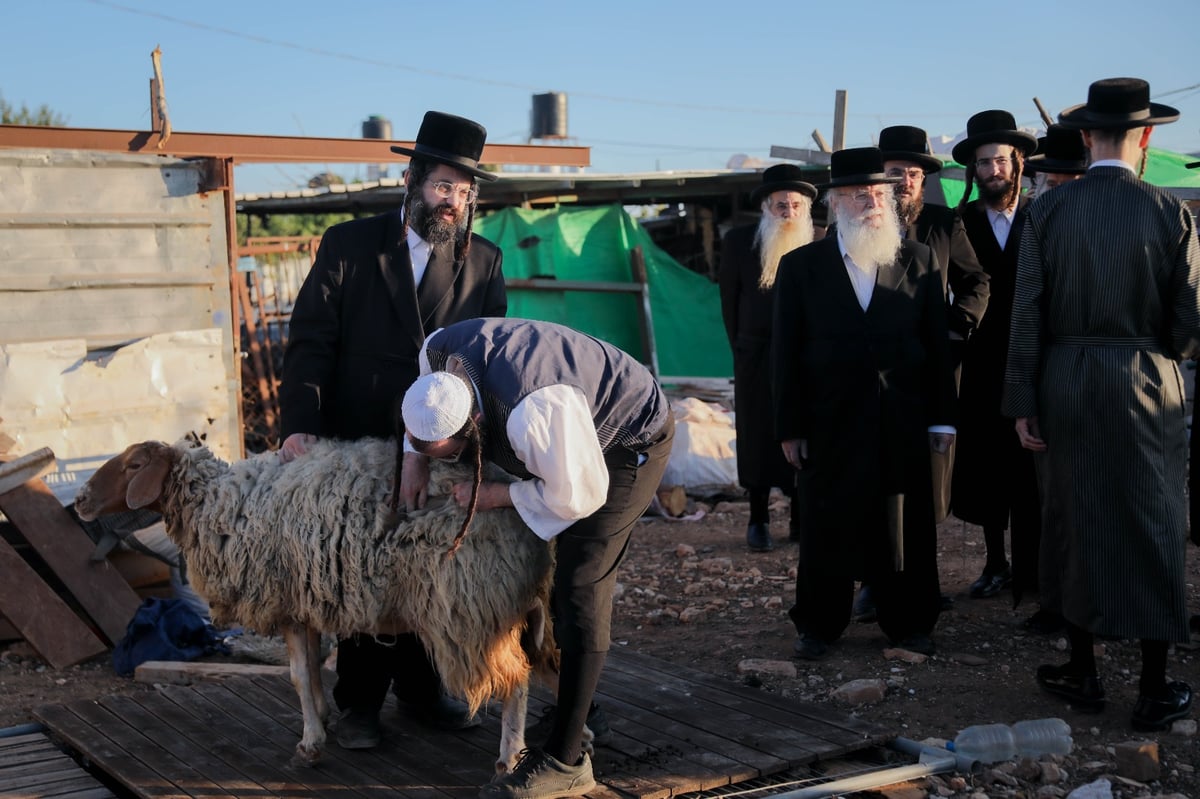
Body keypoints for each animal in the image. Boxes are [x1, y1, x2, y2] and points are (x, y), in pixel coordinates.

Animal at [72, 436, 559, 772]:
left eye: (135, 465)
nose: (80, 500)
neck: (218, 501)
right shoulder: (304, 600)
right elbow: (310, 670)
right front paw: (322, 719)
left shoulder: (283, 596)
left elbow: (299, 676)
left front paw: (309, 743)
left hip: (471, 604)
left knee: (516, 679)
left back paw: (509, 757)